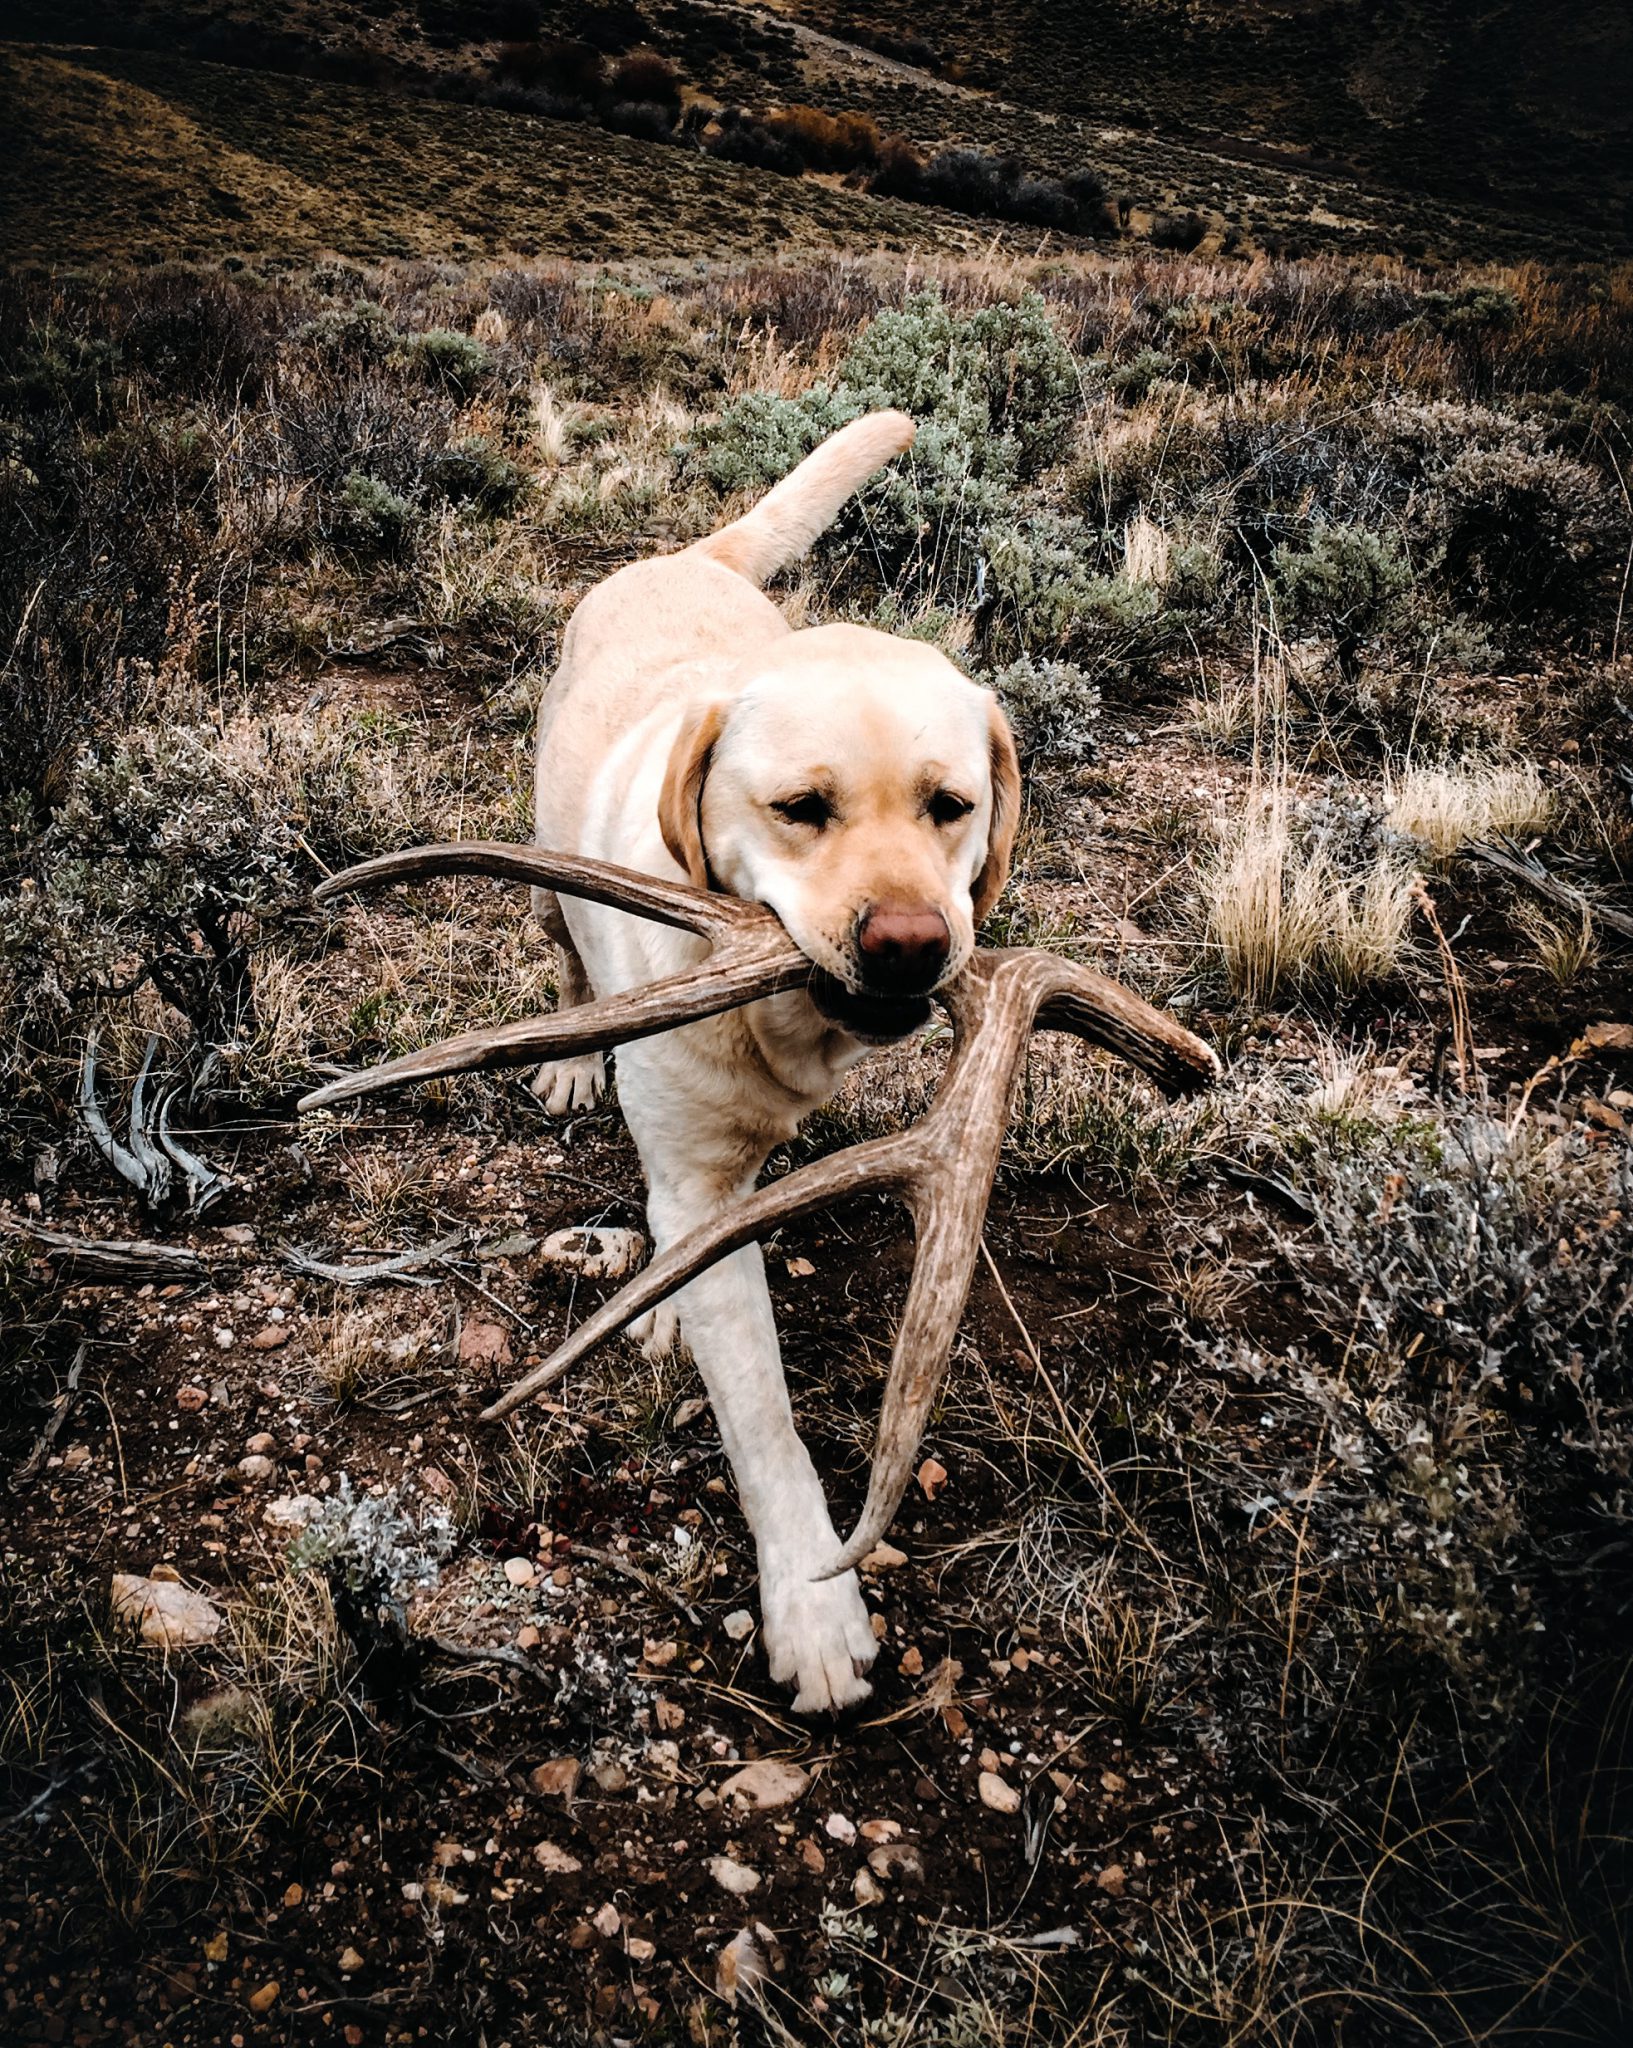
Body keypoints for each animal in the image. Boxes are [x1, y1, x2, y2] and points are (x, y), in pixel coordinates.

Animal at [536, 407, 1012, 1703]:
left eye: (952, 804)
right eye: (801, 807)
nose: (910, 944)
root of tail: (686, 555)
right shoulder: (698, 1181)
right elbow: (760, 1416)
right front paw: (810, 1605)